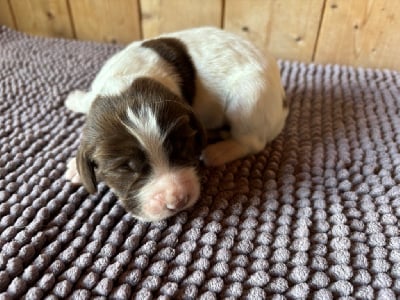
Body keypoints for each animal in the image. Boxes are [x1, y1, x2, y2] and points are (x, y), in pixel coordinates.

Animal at [64, 27, 288, 221]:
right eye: (125, 167)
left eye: (182, 146)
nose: (177, 201)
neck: (126, 80)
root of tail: (282, 100)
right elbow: (88, 102)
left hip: (249, 95)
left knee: (251, 141)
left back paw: (217, 152)